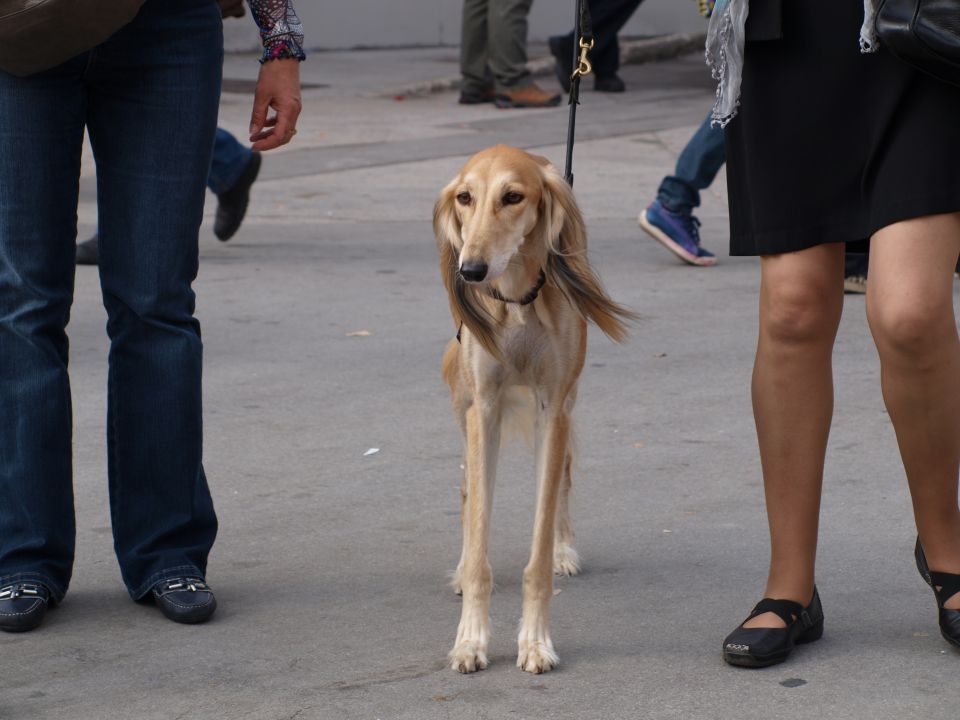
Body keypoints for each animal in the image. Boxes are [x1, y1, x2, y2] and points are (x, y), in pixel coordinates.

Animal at [434, 146, 632, 676]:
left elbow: (538, 552)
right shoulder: (483, 408)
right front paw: (470, 640)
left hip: (565, 407)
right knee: (466, 489)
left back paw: (564, 548)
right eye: (464, 198)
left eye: (513, 197)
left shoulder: (553, 407)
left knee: (562, 477)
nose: (471, 270)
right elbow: (479, 537)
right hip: (465, 406)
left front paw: (536, 642)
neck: (516, 303)